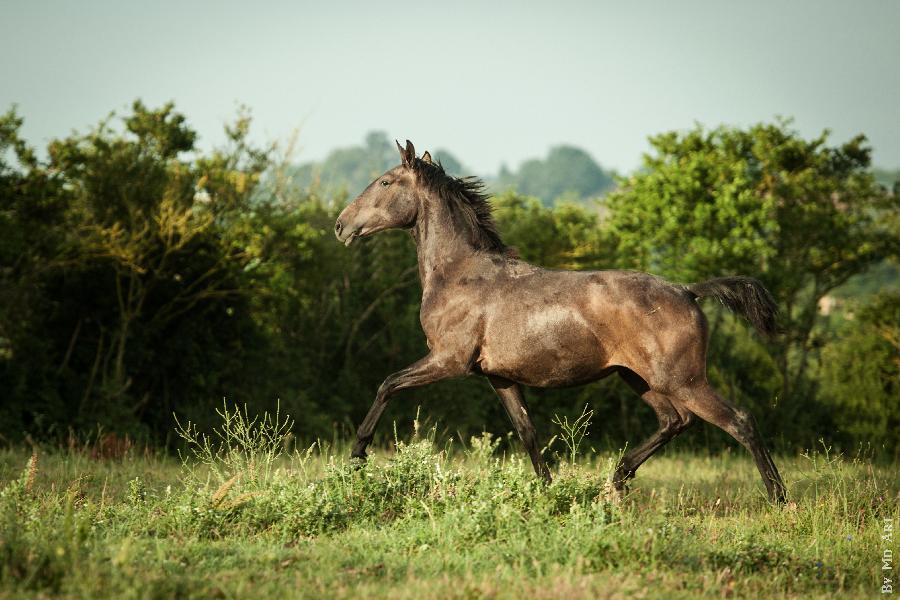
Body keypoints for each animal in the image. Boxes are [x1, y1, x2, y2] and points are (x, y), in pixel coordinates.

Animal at [332, 141, 788, 502]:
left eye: (385, 182)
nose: (341, 225)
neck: (459, 273)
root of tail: (688, 291)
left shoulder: (448, 360)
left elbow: (387, 384)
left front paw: (356, 459)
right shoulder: (498, 376)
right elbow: (527, 432)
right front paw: (550, 491)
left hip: (683, 380)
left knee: (739, 421)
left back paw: (778, 498)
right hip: (639, 377)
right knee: (675, 421)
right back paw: (615, 480)